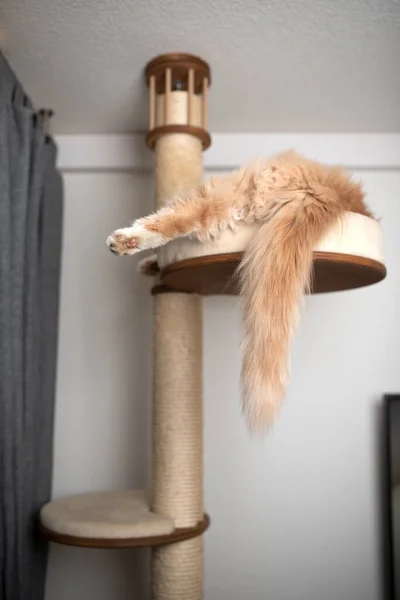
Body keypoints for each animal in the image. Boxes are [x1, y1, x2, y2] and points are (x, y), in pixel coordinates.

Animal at [107, 150, 376, 432]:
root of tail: (335, 192)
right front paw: (150, 266)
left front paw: (146, 260)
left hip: (233, 190)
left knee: (179, 215)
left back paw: (125, 241)